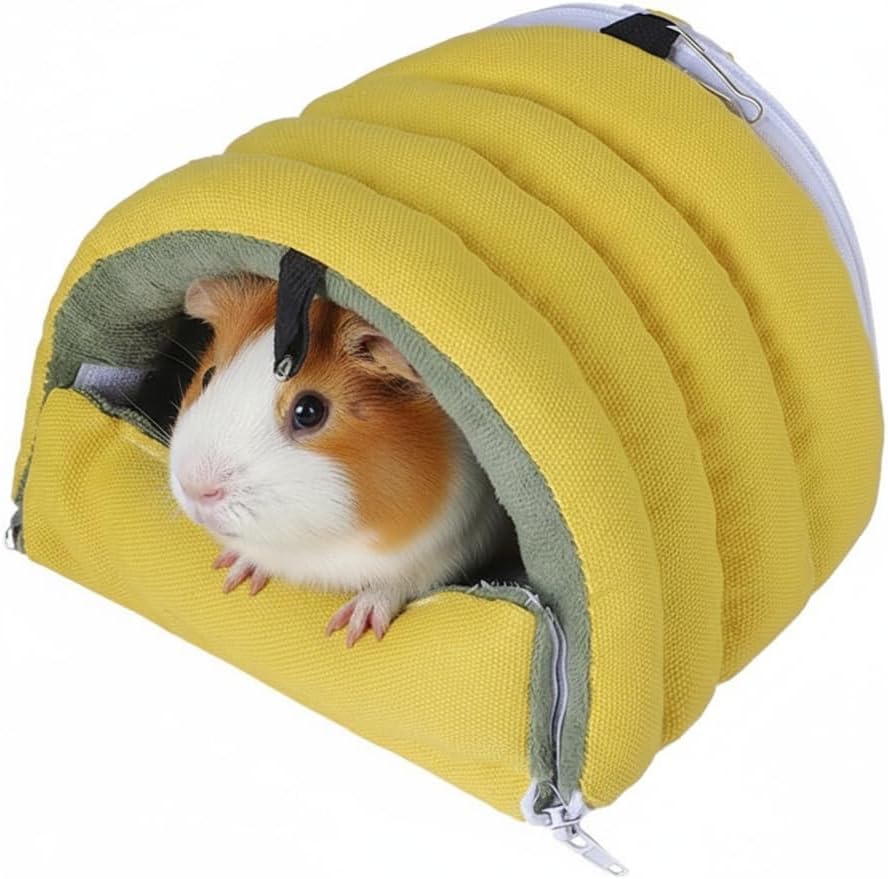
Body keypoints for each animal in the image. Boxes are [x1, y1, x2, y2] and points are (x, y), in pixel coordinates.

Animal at [168, 273, 514, 646]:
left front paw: (353, 628)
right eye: (207, 376)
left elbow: (399, 582)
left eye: (308, 411)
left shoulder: (453, 544)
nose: (195, 487)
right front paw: (237, 573)